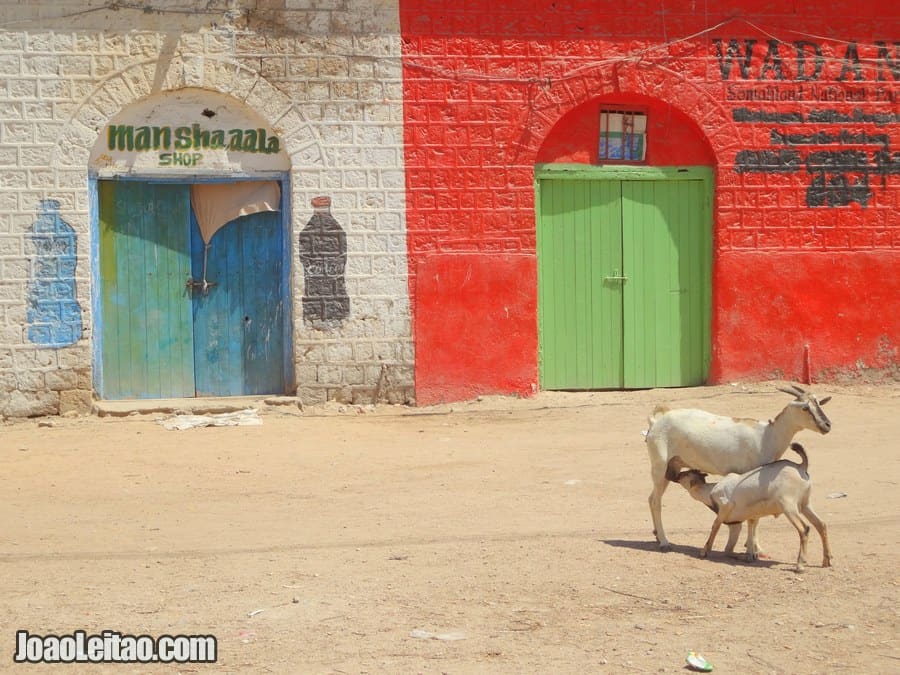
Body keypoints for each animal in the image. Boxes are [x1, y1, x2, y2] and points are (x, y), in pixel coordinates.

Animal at [648, 382, 828, 552]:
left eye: (819, 403)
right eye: (805, 407)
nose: (827, 425)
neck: (766, 436)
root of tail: (656, 423)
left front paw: (754, 547)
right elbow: (753, 517)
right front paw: (754, 549)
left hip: (672, 468)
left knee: (651, 499)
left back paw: (657, 535)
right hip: (659, 466)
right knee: (656, 501)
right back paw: (664, 542)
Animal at [664, 440, 832, 572]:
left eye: (685, 475)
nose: (674, 475)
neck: (710, 491)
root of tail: (801, 466)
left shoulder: (725, 505)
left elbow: (715, 526)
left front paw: (704, 551)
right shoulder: (747, 517)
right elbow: (749, 529)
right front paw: (749, 555)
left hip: (788, 506)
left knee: (804, 529)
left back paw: (800, 565)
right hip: (805, 504)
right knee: (821, 524)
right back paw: (826, 560)